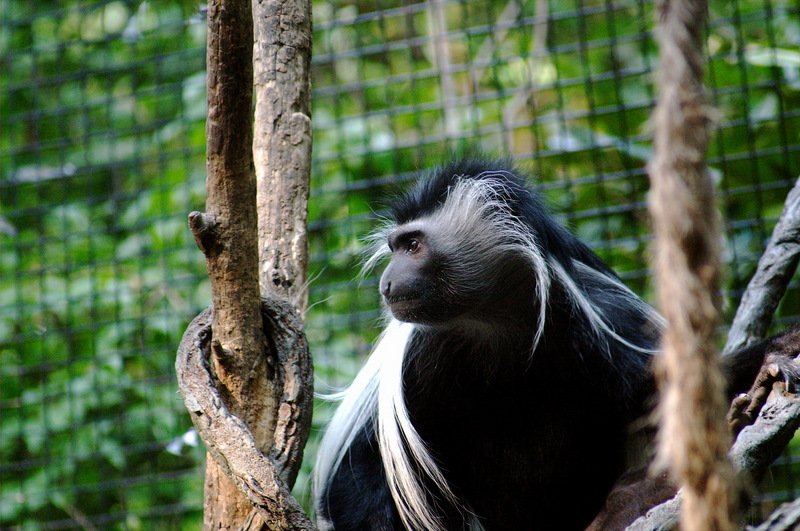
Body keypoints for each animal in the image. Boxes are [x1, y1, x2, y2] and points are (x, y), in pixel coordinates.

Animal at [310, 158, 800, 531]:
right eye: (394, 247)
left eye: (412, 245)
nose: (387, 282)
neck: (496, 319)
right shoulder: (416, 356)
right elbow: (356, 466)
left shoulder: (593, 314)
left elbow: (652, 393)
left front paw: (776, 350)